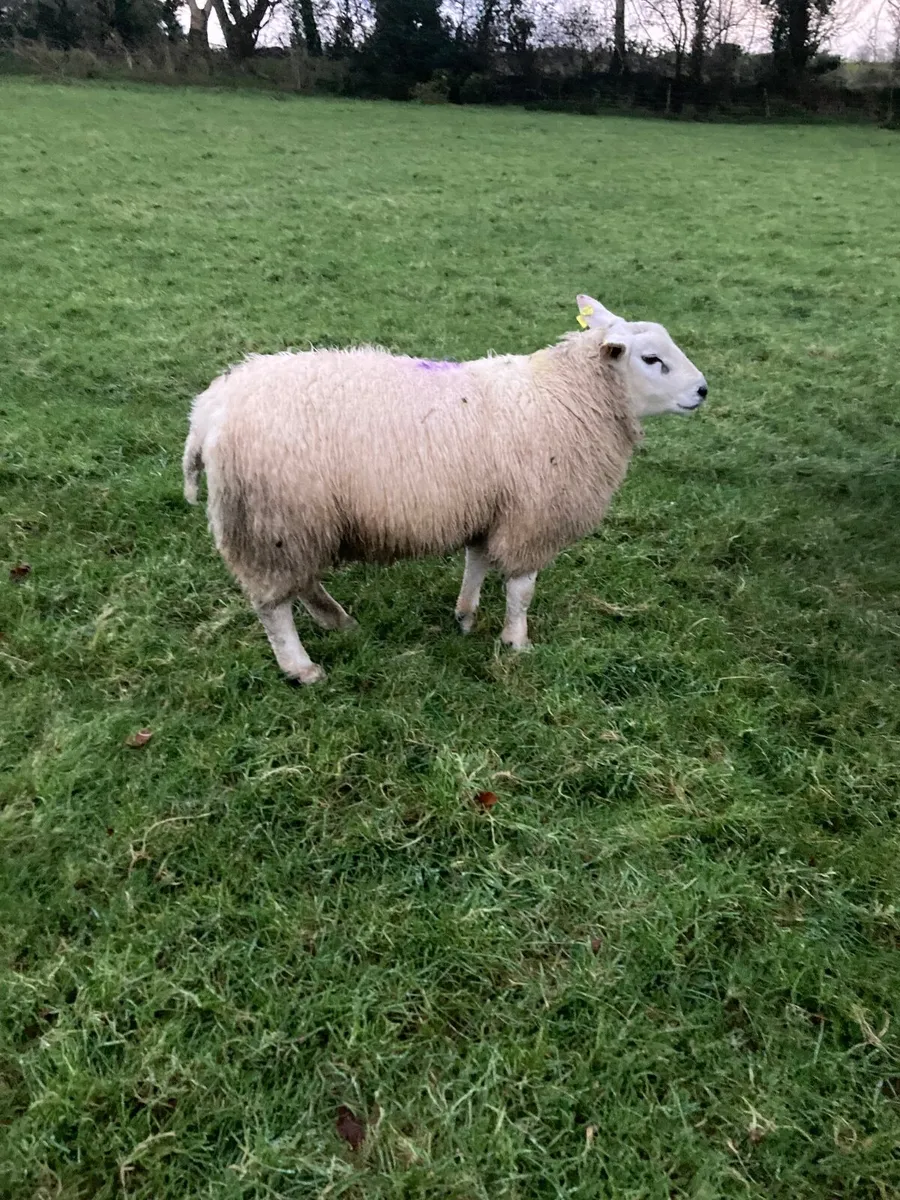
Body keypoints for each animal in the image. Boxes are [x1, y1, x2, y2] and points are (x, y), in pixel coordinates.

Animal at [183, 295, 708, 683]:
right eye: (652, 359)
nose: (703, 390)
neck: (569, 395)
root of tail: (207, 409)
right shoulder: (532, 516)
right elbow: (522, 590)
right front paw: (516, 643)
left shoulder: (491, 506)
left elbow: (476, 562)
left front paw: (465, 617)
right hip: (274, 519)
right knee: (273, 605)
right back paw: (301, 667)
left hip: (292, 524)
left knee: (303, 583)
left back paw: (340, 622)